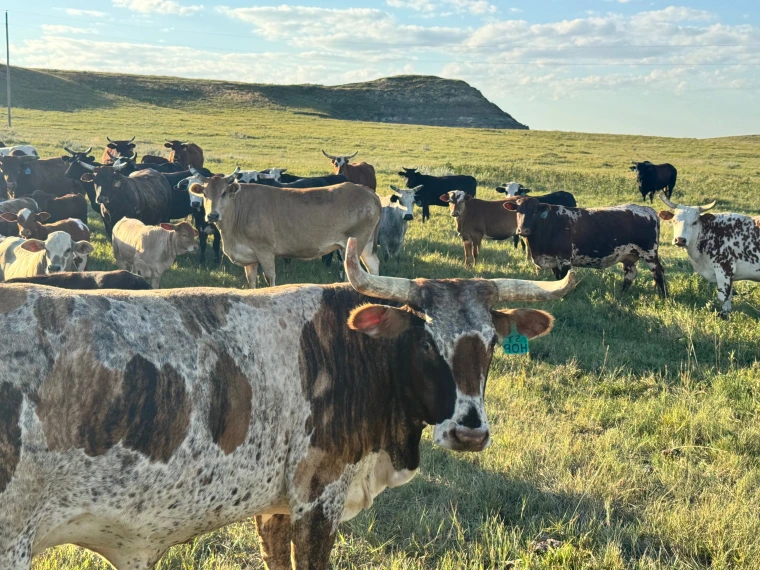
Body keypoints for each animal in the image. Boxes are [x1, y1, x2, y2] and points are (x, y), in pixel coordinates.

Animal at [188, 166, 381, 287]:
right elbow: (251, 282)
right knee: (372, 267)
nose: (212, 215)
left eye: (223, 193)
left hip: (356, 243)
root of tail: (368, 191)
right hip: (364, 244)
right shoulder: (250, 258)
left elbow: (270, 279)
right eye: (204, 193)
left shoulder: (265, 251)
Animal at [504, 198, 666, 296]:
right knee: (630, 274)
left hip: (649, 253)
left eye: (535, 211)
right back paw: (622, 294)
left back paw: (663, 296)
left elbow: (563, 279)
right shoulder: (553, 260)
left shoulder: (564, 259)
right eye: (518, 211)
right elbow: (556, 280)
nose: (523, 230)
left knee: (658, 273)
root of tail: (649, 210)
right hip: (629, 256)